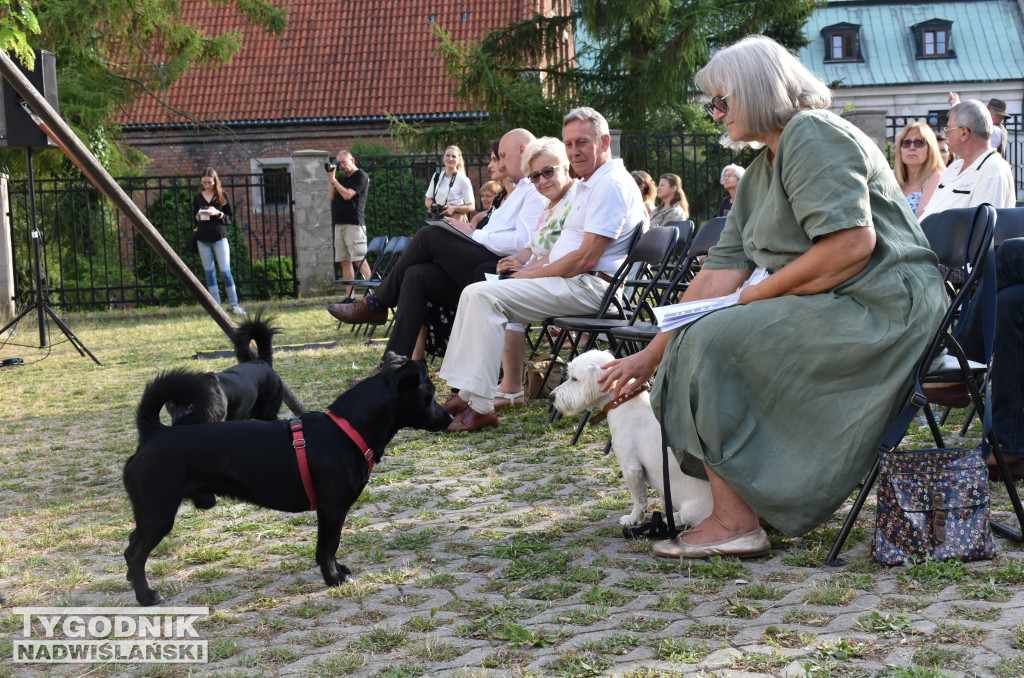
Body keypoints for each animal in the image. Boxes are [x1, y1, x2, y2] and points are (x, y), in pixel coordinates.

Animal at [123, 358, 452, 606]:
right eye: (430, 392)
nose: (449, 417)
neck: (349, 429)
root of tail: (154, 433)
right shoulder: (332, 509)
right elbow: (328, 547)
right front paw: (333, 578)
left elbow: (330, 547)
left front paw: (338, 571)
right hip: (159, 514)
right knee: (136, 554)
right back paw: (145, 596)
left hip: (149, 514)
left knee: (130, 548)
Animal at [552, 350, 712, 532]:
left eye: (574, 379)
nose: (551, 396)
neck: (622, 402)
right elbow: (664, 499)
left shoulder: (630, 467)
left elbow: (639, 499)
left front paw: (633, 519)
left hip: (693, 510)